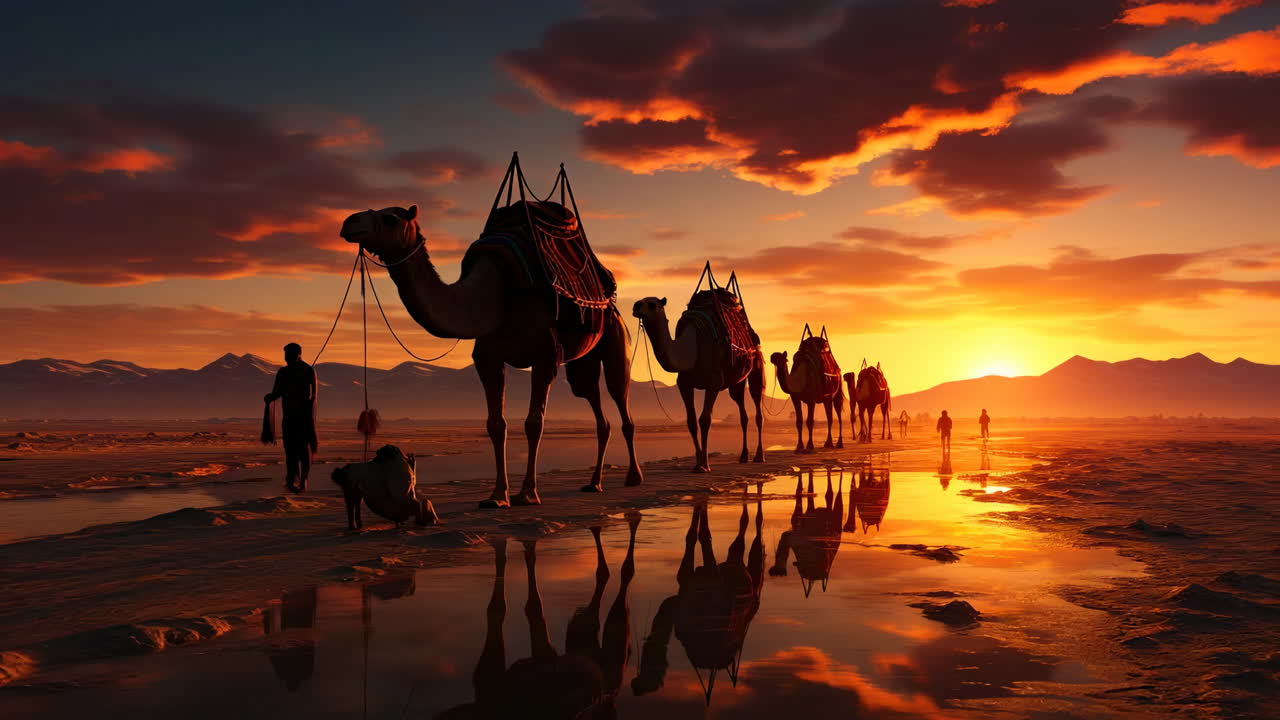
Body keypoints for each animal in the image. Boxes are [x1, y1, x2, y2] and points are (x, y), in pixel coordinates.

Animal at [341, 192, 643, 509]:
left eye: (391, 218)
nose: (350, 222)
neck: (496, 293)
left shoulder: (545, 356)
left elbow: (534, 423)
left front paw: (527, 493)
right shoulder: (487, 357)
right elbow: (496, 425)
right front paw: (497, 496)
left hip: (614, 336)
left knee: (620, 397)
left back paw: (633, 477)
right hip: (582, 365)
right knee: (595, 406)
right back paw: (594, 483)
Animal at [632, 291, 766, 473]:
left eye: (652, 304)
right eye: (640, 301)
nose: (636, 306)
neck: (691, 349)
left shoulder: (713, 384)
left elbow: (705, 420)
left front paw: (705, 465)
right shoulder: (685, 385)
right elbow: (691, 421)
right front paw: (697, 464)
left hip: (756, 363)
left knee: (758, 406)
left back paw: (759, 456)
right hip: (736, 381)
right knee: (742, 410)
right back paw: (744, 456)